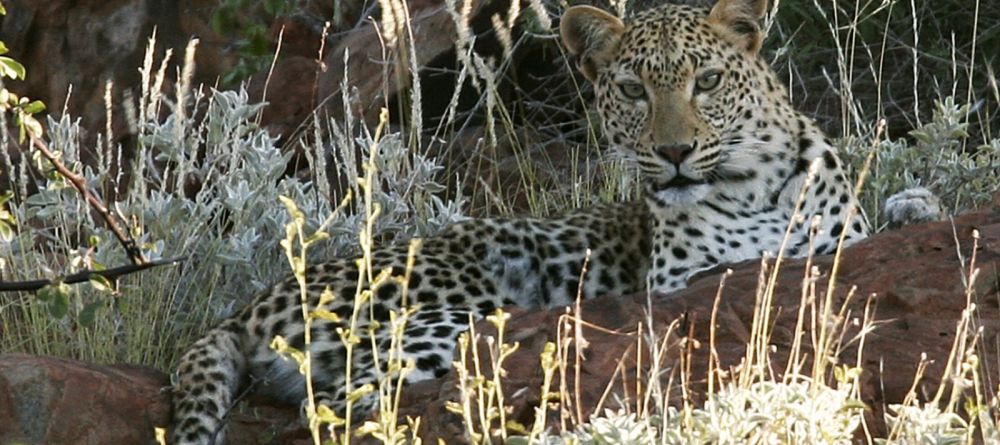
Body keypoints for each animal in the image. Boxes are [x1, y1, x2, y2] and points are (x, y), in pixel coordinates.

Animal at [168, 1, 872, 442]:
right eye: (632, 90)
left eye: (709, 80)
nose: (673, 153)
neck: (754, 189)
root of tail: (249, 305)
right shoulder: (680, 285)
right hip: (446, 316)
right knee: (346, 407)